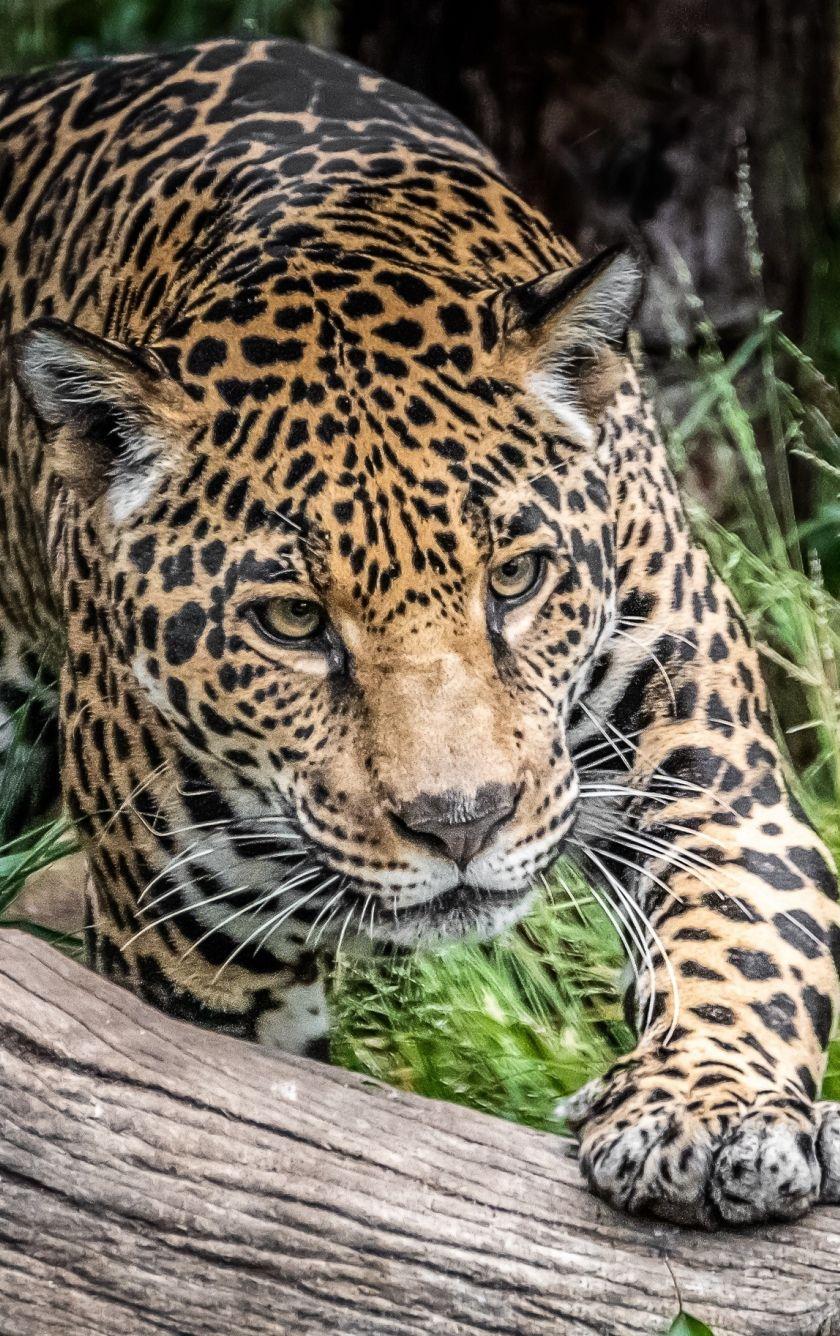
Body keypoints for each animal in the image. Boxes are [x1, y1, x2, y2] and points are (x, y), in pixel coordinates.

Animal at [1, 37, 839, 1229]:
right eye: (293, 619)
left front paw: (707, 1110)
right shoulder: (183, 944)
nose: (461, 825)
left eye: (518, 578)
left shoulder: (711, 767)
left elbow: (744, 938)